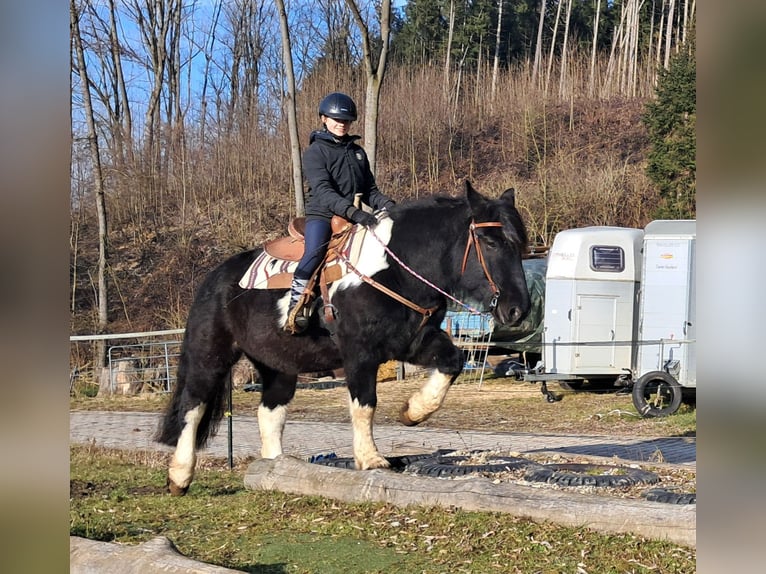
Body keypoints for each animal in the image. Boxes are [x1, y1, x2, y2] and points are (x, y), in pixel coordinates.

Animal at [153, 180, 532, 496]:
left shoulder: (414, 341)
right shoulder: (359, 354)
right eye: (491, 242)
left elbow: (452, 363)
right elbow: (364, 405)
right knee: (192, 408)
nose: (518, 309)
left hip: (279, 366)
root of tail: (213, 279)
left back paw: (274, 468)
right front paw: (371, 459)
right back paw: (179, 477)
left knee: (270, 413)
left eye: (520, 244)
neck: (394, 271)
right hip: (210, 356)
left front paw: (413, 412)